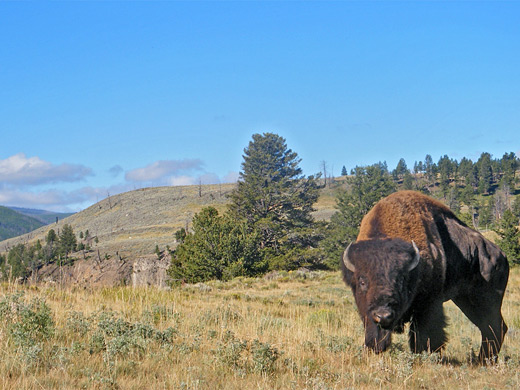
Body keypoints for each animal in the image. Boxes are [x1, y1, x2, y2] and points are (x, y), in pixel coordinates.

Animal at [342, 191, 508, 362]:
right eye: (362, 281)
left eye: (401, 280)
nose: (383, 315)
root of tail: (501, 255)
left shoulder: (429, 304)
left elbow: (424, 334)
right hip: (466, 301)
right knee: (489, 327)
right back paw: (482, 360)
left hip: (486, 301)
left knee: (494, 326)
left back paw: (484, 360)